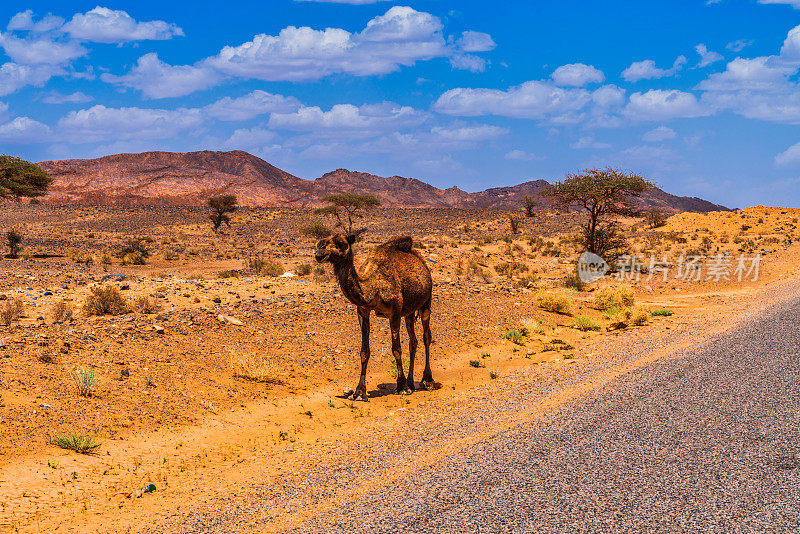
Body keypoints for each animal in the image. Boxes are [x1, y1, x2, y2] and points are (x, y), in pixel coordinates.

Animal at [316, 234, 434, 402]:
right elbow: (364, 351)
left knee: (426, 336)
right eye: (321, 241)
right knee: (413, 341)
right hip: (409, 311)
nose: (319, 251)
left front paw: (402, 387)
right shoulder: (363, 311)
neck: (373, 288)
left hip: (426, 301)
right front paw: (359, 392)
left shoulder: (395, 312)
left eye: (340, 243)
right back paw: (411, 382)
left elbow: (396, 349)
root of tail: (421, 262)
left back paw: (426, 379)